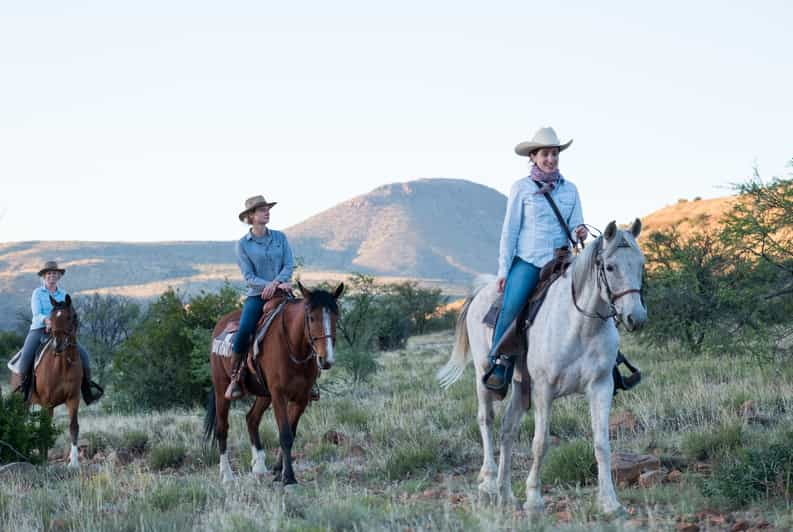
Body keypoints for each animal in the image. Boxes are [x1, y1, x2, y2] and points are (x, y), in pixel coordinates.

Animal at [10, 296, 82, 470]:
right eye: (52, 316)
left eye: (69, 317)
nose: (58, 344)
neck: (63, 365)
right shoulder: (46, 402)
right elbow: (45, 429)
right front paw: (43, 461)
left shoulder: (73, 399)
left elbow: (73, 427)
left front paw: (74, 463)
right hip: (24, 402)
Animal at [203, 280, 342, 484]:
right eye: (311, 318)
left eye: (335, 316)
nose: (326, 359)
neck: (293, 345)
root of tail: (220, 325)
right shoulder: (279, 395)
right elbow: (285, 435)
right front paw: (289, 477)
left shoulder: (301, 398)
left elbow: (291, 432)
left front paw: (278, 470)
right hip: (222, 390)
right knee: (222, 429)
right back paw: (227, 476)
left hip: (264, 394)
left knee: (251, 419)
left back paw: (259, 467)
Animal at [436, 219, 648, 516]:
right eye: (610, 267)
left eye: (641, 264)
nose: (636, 318)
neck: (581, 325)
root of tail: (483, 290)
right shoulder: (544, 389)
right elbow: (540, 443)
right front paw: (534, 499)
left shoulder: (601, 386)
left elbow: (602, 444)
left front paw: (610, 502)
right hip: (483, 375)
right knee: (486, 420)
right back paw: (488, 483)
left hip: (519, 385)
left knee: (508, 429)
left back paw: (505, 493)